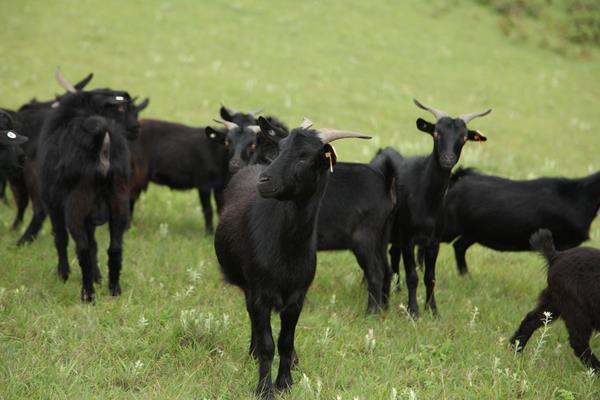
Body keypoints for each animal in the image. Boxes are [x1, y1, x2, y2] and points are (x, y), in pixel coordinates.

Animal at [37, 69, 142, 302]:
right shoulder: (92, 216)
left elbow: (62, 239)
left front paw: (64, 274)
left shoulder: (54, 205)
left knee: (82, 248)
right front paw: (98, 276)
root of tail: (101, 137)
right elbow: (95, 245)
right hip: (119, 201)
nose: (136, 128)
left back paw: (88, 295)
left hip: (77, 203)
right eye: (122, 108)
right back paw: (114, 289)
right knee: (115, 248)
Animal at [213, 115, 368, 396]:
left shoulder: (297, 298)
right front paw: (264, 388)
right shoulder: (259, 293)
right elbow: (267, 343)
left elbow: (285, 341)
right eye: (280, 149)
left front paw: (285, 383)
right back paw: (252, 353)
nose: (265, 181)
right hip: (247, 286)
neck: (287, 247)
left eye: (305, 157)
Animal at [372, 98, 490, 318]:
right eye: (436, 134)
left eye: (463, 138)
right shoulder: (409, 238)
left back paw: (396, 289)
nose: (447, 159)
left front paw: (433, 310)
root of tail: (384, 151)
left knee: (393, 255)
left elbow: (430, 277)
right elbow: (413, 276)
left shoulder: (433, 241)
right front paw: (413, 311)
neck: (427, 200)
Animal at [436, 166, 600, 276]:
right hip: (450, 226)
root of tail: (456, 181)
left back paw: (466, 277)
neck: (579, 198)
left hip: (474, 232)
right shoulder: (564, 243)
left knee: (459, 246)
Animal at [510, 228, 600, 372]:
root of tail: (556, 256)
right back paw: (596, 370)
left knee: (530, 320)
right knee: (578, 342)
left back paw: (514, 350)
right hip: (576, 309)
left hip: (553, 302)